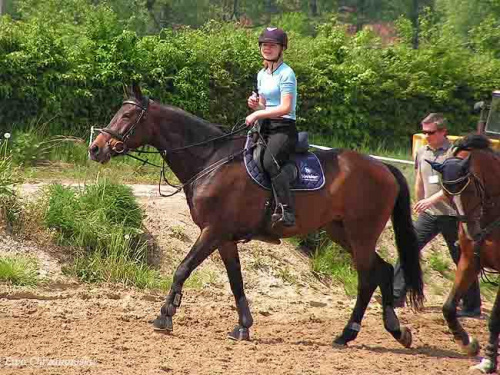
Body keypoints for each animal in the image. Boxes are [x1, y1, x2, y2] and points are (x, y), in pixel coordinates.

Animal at [89, 84, 422, 350]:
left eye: (128, 116)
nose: (96, 148)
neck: (211, 160)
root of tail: (383, 167)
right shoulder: (224, 238)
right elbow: (236, 280)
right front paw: (243, 326)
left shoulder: (212, 231)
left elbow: (182, 269)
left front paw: (164, 316)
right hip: (341, 232)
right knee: (382, 270)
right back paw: (396, 331)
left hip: (360, 233)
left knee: (367, 278)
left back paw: (347, 334)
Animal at [428, 135, 500, 374]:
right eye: (447, 194)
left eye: (469, 190)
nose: (472, 232)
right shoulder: (469, 261)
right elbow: (448, 307)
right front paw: (468, 344)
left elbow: (495, 318)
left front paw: (488, 361)